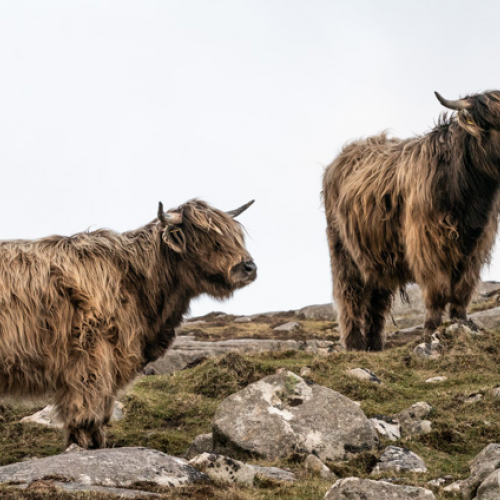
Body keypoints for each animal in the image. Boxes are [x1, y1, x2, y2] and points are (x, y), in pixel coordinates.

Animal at [0, 199, 256, 450]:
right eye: (207, 237)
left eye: (235, 236)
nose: (249, 268)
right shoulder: (91, 353)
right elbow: (87, 409)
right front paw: (85, 445)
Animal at [322, 92, 500, 354]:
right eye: (495, 123)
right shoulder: (428, 245)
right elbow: (438, 291)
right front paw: (430, 332)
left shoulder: (476, 247)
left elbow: (462, 290)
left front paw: (463, 323)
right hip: (342, 251)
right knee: (349, 295)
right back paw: (355, 344)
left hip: (378, 254)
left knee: (377, 299)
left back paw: (375, 345)